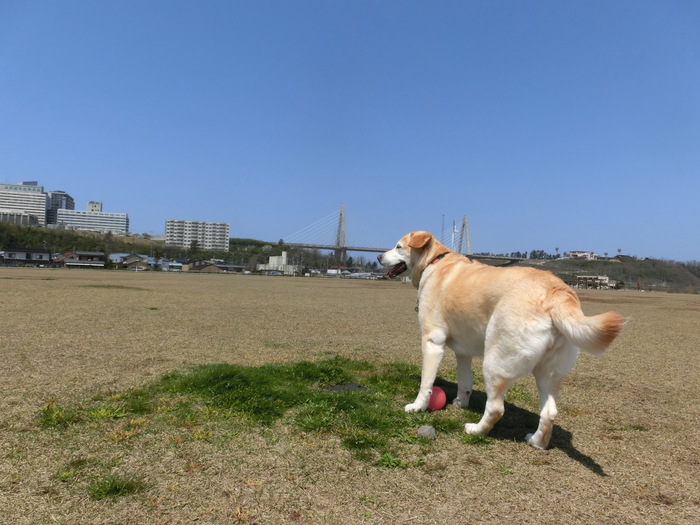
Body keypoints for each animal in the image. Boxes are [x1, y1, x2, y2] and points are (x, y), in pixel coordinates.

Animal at [380, 231, 628, 448]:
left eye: (398, 246)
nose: (378, 257)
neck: (435, 262)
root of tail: (557, 293)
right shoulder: (463, 351)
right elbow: (465, 383)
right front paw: (461, 403)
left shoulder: (432, 342)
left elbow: (426, 384)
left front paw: (417, 406)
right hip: (548, 373)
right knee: (549, 412)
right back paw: (537, 442)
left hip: (494, 361)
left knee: (496, 408)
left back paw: (476, 430)